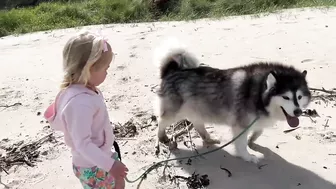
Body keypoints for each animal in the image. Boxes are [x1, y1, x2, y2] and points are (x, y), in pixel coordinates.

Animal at [151, 38, 312, 164]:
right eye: (286, 97)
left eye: (299, 97)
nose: (298, 112)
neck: (258, 94)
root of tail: (171, 70)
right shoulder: (240, 125)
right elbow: (241, 145)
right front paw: (248, 157)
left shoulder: (256, 119)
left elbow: (258, 131)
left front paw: (252, 140)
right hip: (175, 112)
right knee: (162, 121)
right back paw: (162, 136)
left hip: (196, 108)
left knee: (197, 122)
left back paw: (208, 138)